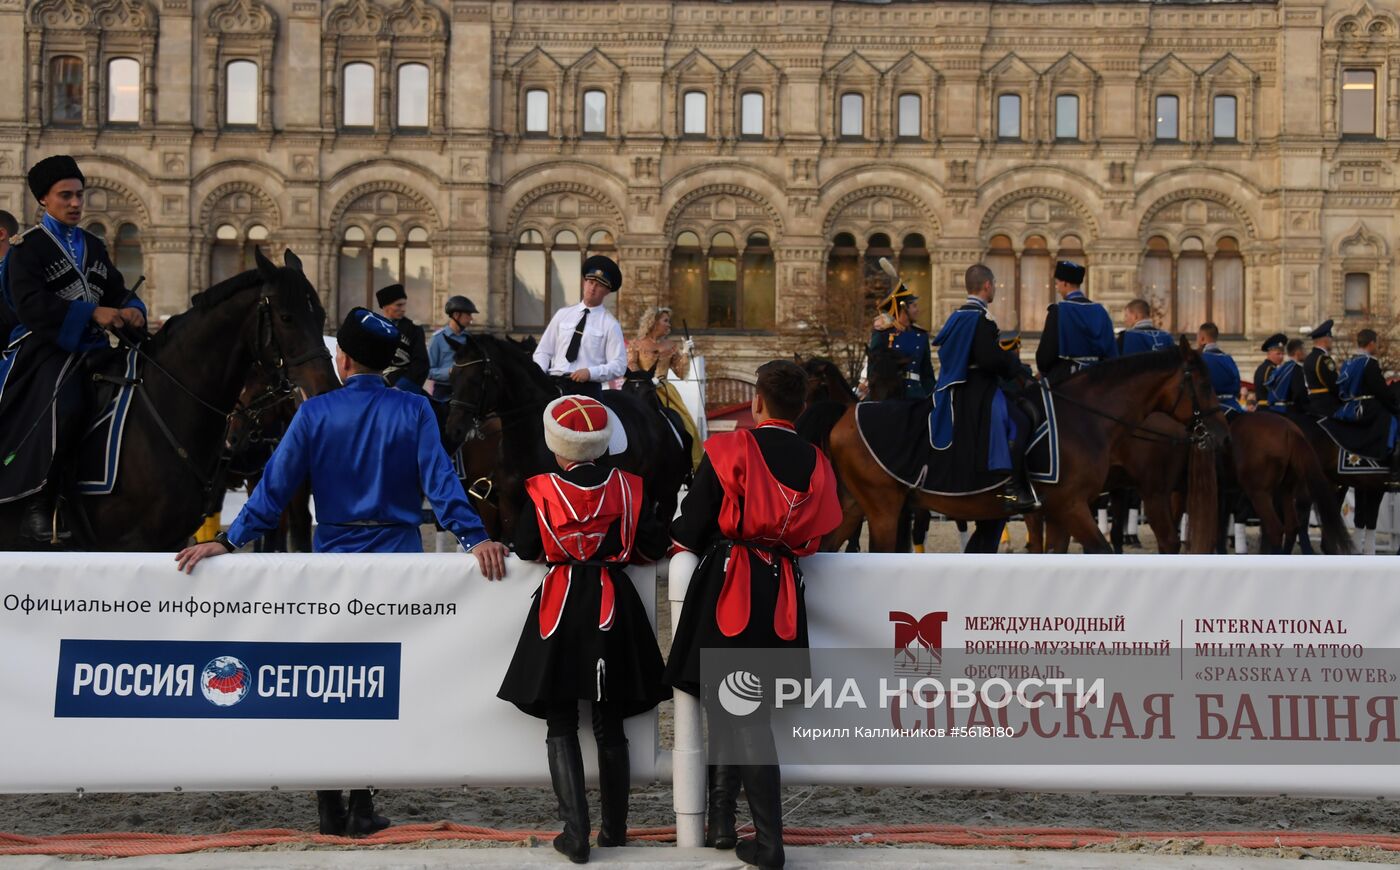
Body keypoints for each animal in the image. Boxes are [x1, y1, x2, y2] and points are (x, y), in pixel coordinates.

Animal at [445, 332, 691, 543]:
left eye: (476, 379)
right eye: (452, 377)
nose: (454, 430)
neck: (528, 439)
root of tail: (652, 413)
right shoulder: (508, 505)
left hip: (666, 493)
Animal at [812, 339, 1226, 549]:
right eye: (1204, 383)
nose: (1222, 434)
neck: (1085, 418)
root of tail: (848, 414)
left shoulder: (1060, 510)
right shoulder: (1070, 507)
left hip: (858, 507)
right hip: (882, 508)